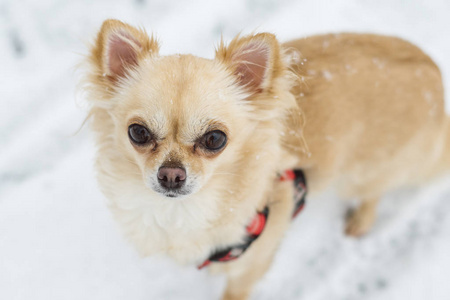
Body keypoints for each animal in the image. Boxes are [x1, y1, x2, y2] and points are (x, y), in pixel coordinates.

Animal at [83, 19, 446, 298]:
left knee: (375, 191)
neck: (182, 212)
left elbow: (235, 290)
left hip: (364, 173)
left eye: (215, 139)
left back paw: (361, 219)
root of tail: (436, 78)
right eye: (138, 133)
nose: (171, 175)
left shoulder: (252, 264)